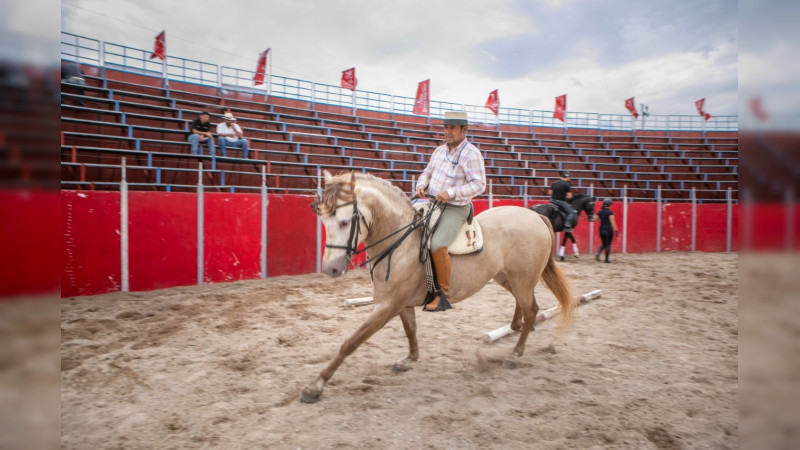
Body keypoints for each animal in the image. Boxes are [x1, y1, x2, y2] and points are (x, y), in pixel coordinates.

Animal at [302, 172, 576, 404]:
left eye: (344, 222)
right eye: (324, 220)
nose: (331, 269)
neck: (399, 242)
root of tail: (535, 216)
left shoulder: (386, 306)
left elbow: (350, 343)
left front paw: (315, 386)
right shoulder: (399, 304)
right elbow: (410, 330)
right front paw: (408, 360)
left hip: (522, 278)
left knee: (531, 309)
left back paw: (514, 354)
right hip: (506, 277)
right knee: (526, 306)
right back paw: (516, 330)